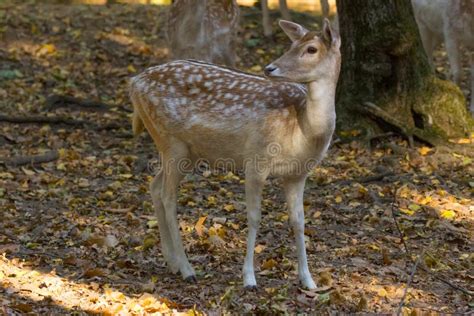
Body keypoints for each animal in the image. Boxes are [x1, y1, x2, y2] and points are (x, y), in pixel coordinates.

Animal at [131, 17, 340, 288]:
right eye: (293, 44)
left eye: (311, 49)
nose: (270, 68)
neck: (302, 132)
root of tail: (134, 82)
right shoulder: (256, 161)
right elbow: (254, 217)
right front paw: (249, 277)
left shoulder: (297, 174)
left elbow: (299, 221)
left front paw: (309, 280)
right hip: (170, 141)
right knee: (168, 197)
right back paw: (187, 269)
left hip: (185, 152)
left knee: (155, 186)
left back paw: (172, 263)